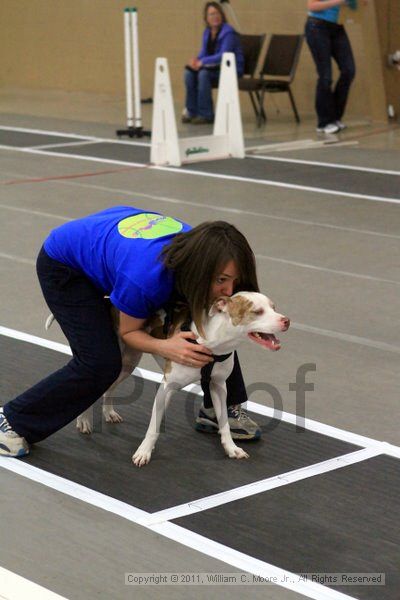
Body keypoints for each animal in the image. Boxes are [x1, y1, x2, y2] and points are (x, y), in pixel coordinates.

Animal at [47, 292, 290, 466]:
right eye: (257, 311)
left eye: (274, 307)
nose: (286, 320)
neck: (213, 343)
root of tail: (110, 301)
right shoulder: (167, 388)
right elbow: (154, 427)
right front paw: (143, 453)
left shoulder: (218, 387)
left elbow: (224, 423)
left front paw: (231, 448)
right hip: (109, 362)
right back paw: (84, 420)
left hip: (127, 364)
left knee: (109, 388)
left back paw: (108, 412)